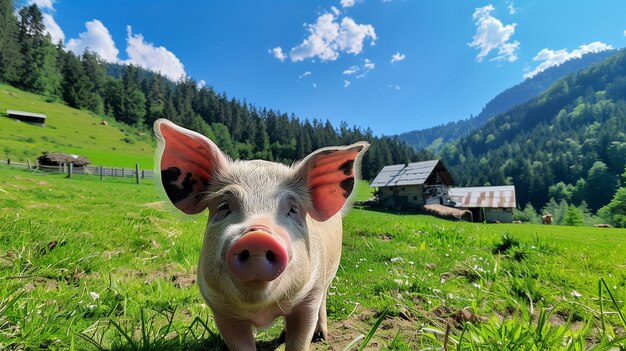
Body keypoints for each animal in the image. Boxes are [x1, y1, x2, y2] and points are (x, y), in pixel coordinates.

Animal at [154, 119, 368, 350]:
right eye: (224, 205)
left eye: (292, 209)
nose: (257, 236)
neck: (261, 311)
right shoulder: (221, 311)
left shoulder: (309, 297)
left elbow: (300, 339)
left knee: (324, 299)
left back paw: (321, 337)